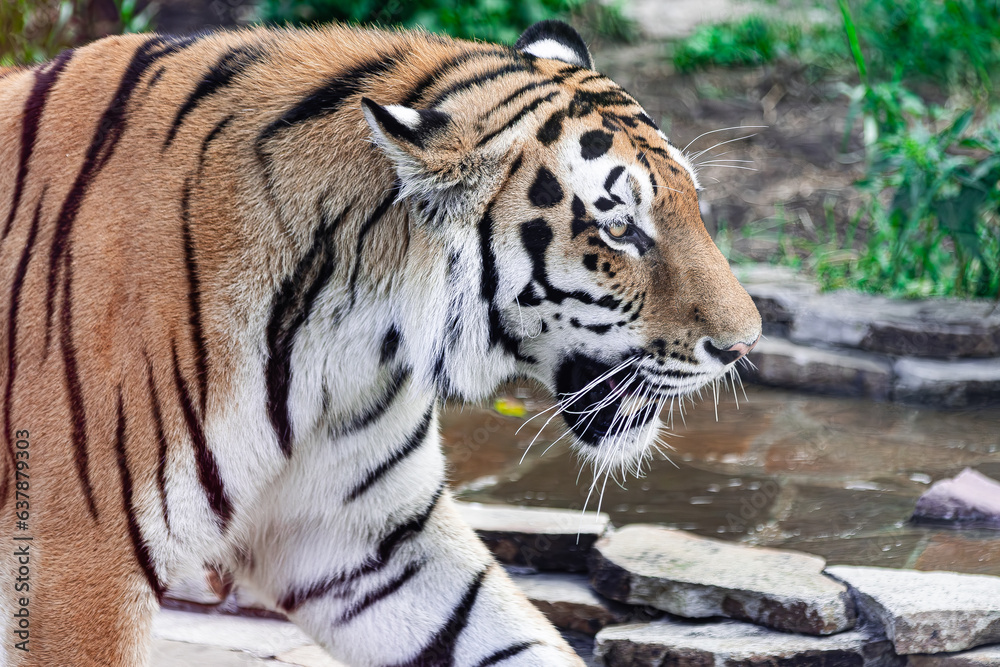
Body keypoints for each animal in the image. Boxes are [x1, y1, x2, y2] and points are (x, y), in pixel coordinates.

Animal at [0, 18, 761, 667]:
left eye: (692, 204)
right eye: (619, 229)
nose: (744, 345)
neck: (344, 337)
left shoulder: (366, 538)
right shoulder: (81, 560)